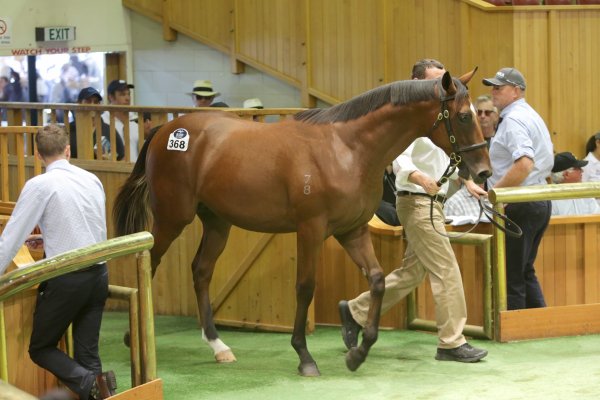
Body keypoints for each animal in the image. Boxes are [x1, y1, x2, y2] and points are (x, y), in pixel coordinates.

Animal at [113, 69, 492, 376]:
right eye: (462, 116)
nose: (484, 172)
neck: (347, 149)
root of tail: (167, 129)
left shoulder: (351, 231)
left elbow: (378, 280)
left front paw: (358, 352)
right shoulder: (311, 230)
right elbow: (305, 287)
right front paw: (305, 356)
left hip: (218, 222)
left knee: (201, 271)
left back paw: (219, 347)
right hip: (171, 218)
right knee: (150, 265)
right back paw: (134, 338)